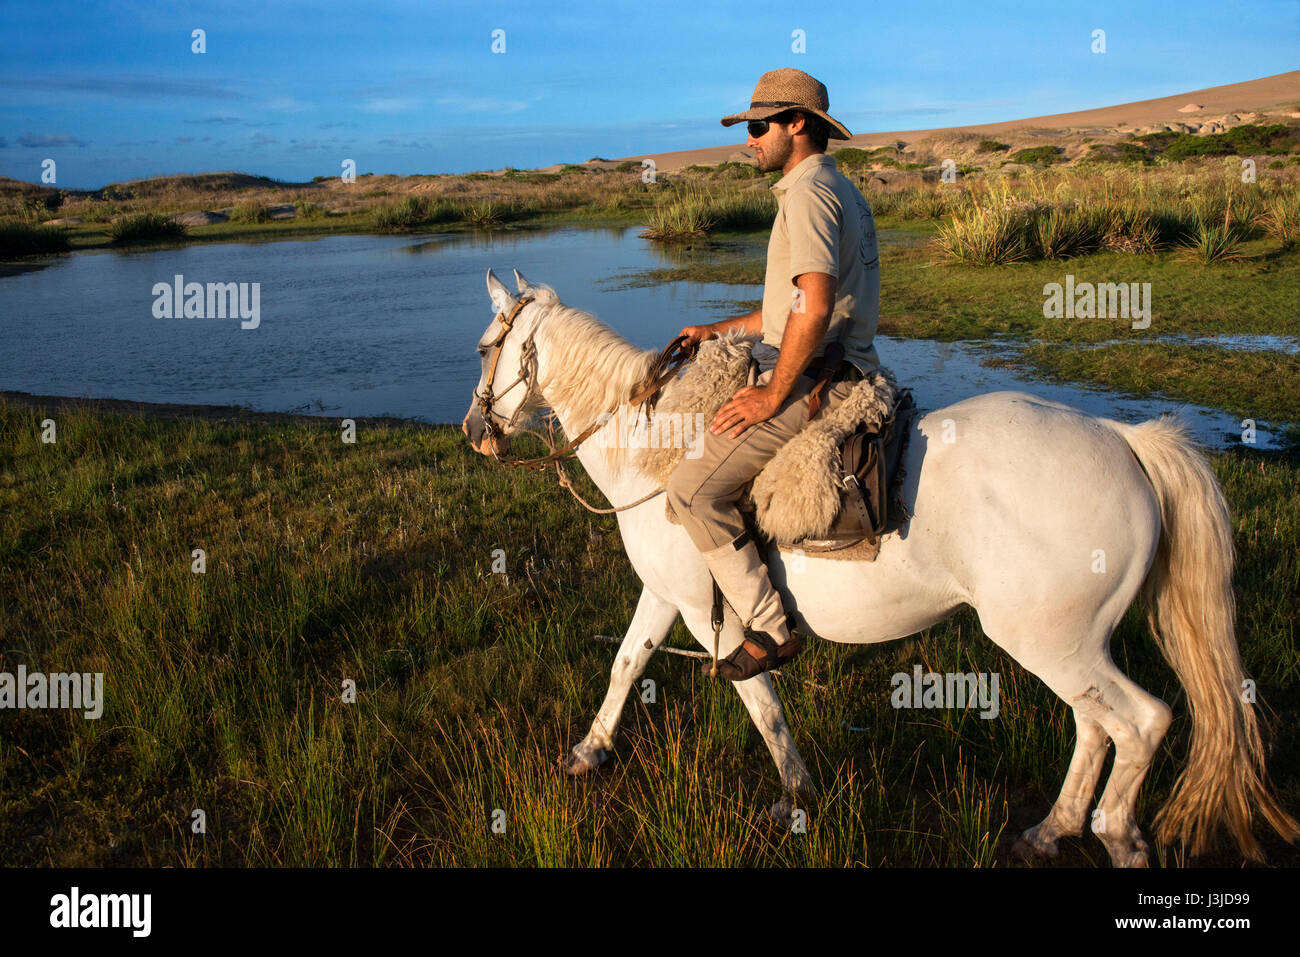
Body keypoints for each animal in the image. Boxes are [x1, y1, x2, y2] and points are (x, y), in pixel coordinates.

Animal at [462, 269, 1294, 868]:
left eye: (482, 347)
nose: (474, 430)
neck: (652, 441)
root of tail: (1124, 440)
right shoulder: (668, 594)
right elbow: (627, 663)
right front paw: (589, 752)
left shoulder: (708, 611)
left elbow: (760, 699)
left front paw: (794, 796)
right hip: (1069, 646)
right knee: (1097, 725)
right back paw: (1051, 830)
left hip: (1050, 641)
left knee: (1142, 722)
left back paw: (1115, 836)